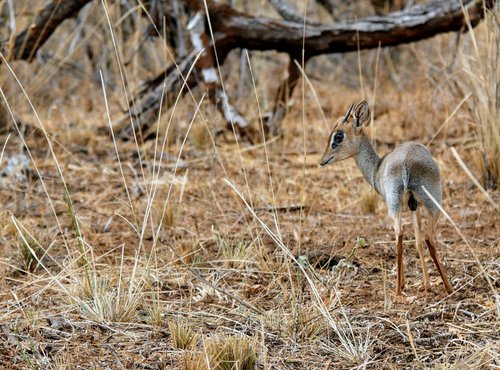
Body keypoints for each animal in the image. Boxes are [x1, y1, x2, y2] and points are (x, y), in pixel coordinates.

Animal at [320, 100, 454, 298]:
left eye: (338, 136)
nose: (322, 160)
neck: (377, 168)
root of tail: (407, 162)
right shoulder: (414, 206)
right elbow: (417, 242)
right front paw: (427, 285)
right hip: (433, 204)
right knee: (428, 238)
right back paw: (448, 287)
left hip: (395, 206)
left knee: (400, 235)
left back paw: (398, 290)